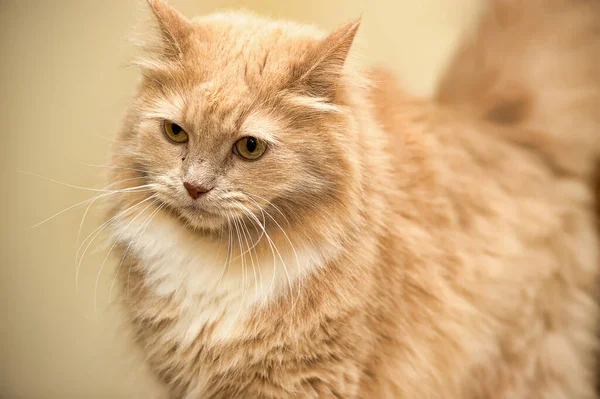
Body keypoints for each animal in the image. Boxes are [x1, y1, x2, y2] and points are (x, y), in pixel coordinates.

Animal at [105, 0, 600, 398]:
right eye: (176, 133)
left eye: (249, 147)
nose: (194, 186)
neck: (219, 262)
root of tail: (500, 127)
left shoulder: (305, 379)